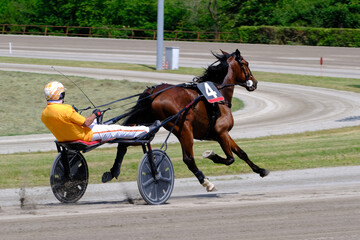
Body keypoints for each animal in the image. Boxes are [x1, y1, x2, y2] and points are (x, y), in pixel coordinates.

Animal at [122, 49, 268, 192]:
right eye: (246, 64)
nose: (255, 83)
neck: (219, 95)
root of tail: (153, 92)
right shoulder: (221, 132)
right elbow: (230, 159)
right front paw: (211, 156)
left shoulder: (223, 134)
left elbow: (242, 153)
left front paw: (261, 170)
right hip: (184, 129)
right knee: (188, 159)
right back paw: (206, 182)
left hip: (146, 122)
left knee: (125, 144)